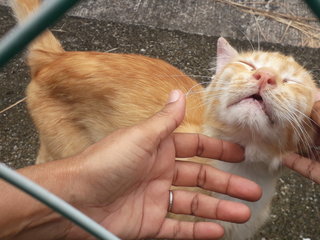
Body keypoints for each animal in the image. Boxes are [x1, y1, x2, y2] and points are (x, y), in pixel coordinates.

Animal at [11, 0, 318, 238]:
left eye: (291, 82)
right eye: (248, 64)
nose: (265, 76)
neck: (242, 169)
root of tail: (55, 57)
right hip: (66, 148)